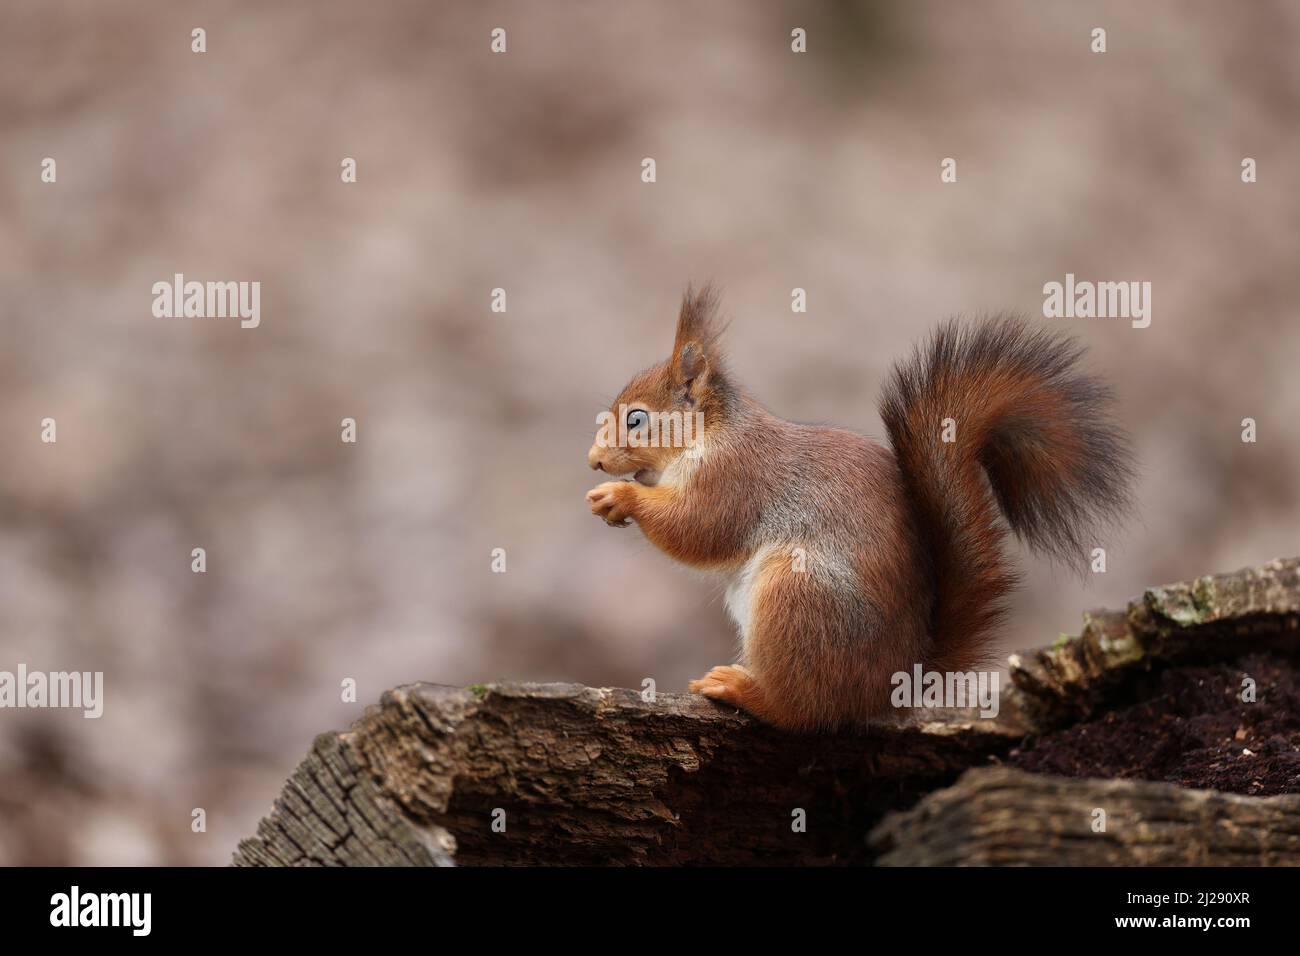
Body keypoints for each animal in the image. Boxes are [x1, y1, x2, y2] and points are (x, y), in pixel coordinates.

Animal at [585, 283, 1133, 733]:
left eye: (636, 419)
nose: (594, 461)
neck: (711, 435)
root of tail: (893, 684)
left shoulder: (735, 480)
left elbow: (697, 530)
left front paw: (621, 497)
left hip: (799, 595)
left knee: (803, 711)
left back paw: (742, 689)